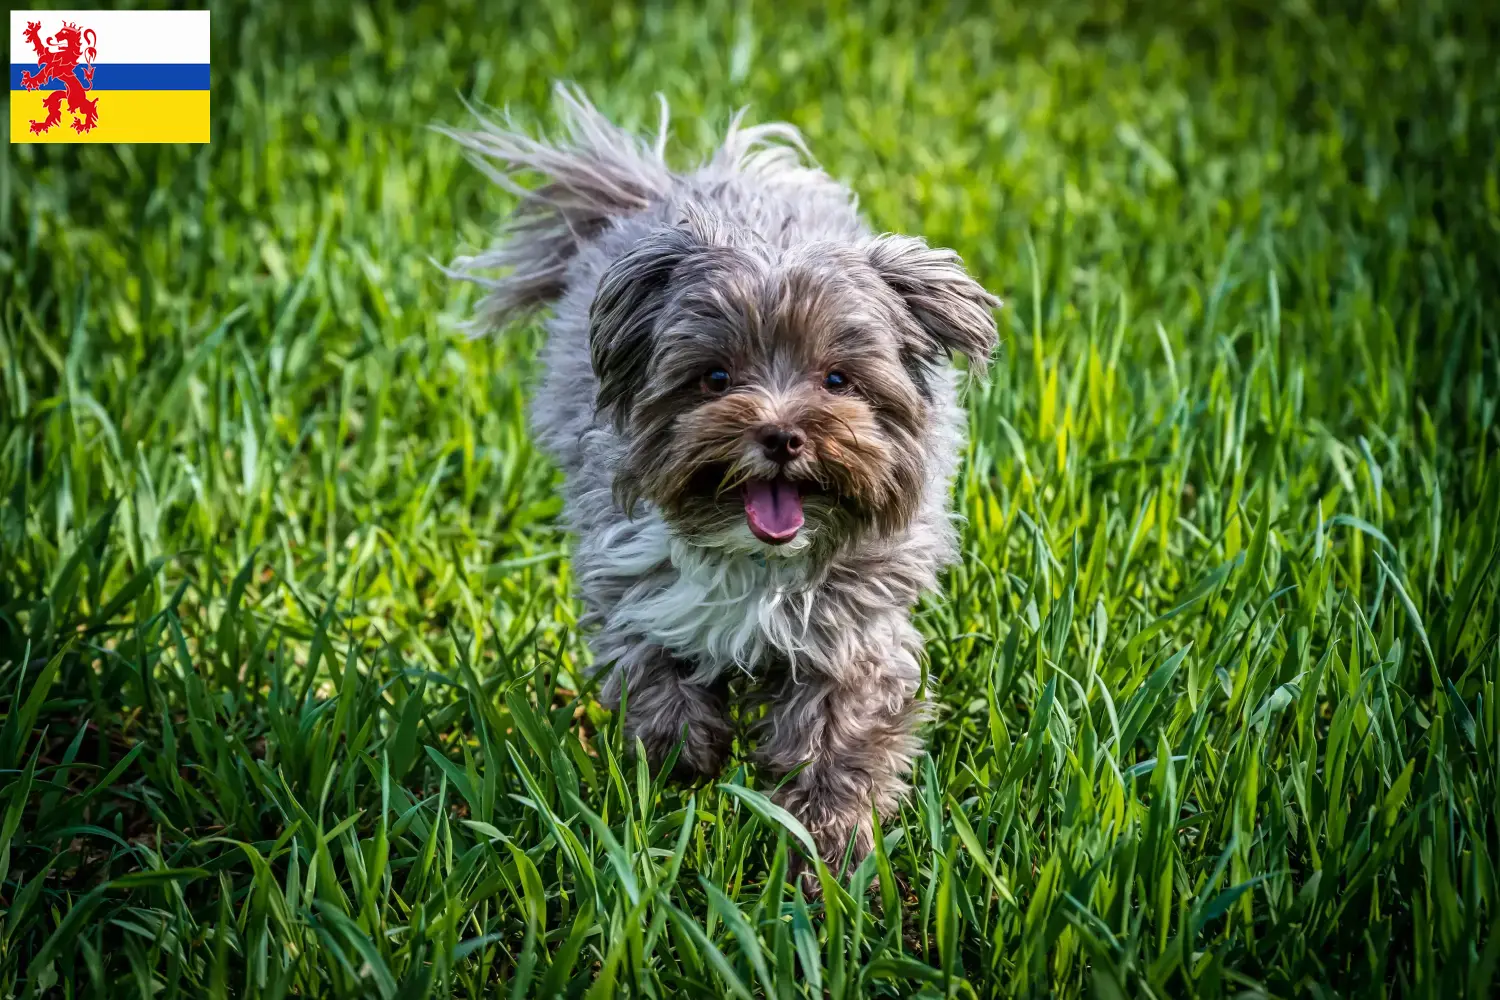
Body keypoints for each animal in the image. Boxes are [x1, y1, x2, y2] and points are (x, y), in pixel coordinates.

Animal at [450, 83, 1002, 869]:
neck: (759, 565)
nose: (780, 434)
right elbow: (654, 674)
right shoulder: (631, 578)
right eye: (714, 378)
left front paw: (830, 848)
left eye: (838, 379)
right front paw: (685, 759)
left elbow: (840, 739)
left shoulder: (852, 631)